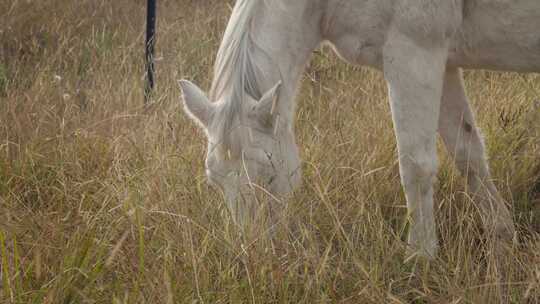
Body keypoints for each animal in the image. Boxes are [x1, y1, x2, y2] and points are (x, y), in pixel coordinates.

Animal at [178, 0, 540, 258]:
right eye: (213, 181)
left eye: (268, 175)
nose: (256, 256)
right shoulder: (443, 63)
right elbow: (468, 154)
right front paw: (502, 241)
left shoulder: (414, 55)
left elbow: (416, 167)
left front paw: (420, 259)